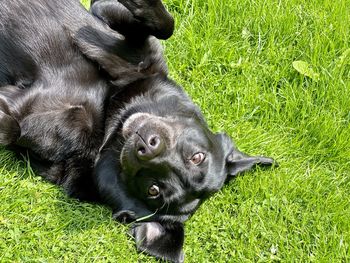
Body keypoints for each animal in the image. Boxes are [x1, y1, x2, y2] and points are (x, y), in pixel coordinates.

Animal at [0, 0, 278, 262]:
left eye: (153, 190)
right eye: (197, 157)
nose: (148, 146)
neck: (107, 120)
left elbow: (13, 128)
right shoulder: (117, 24)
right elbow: (165, 26)